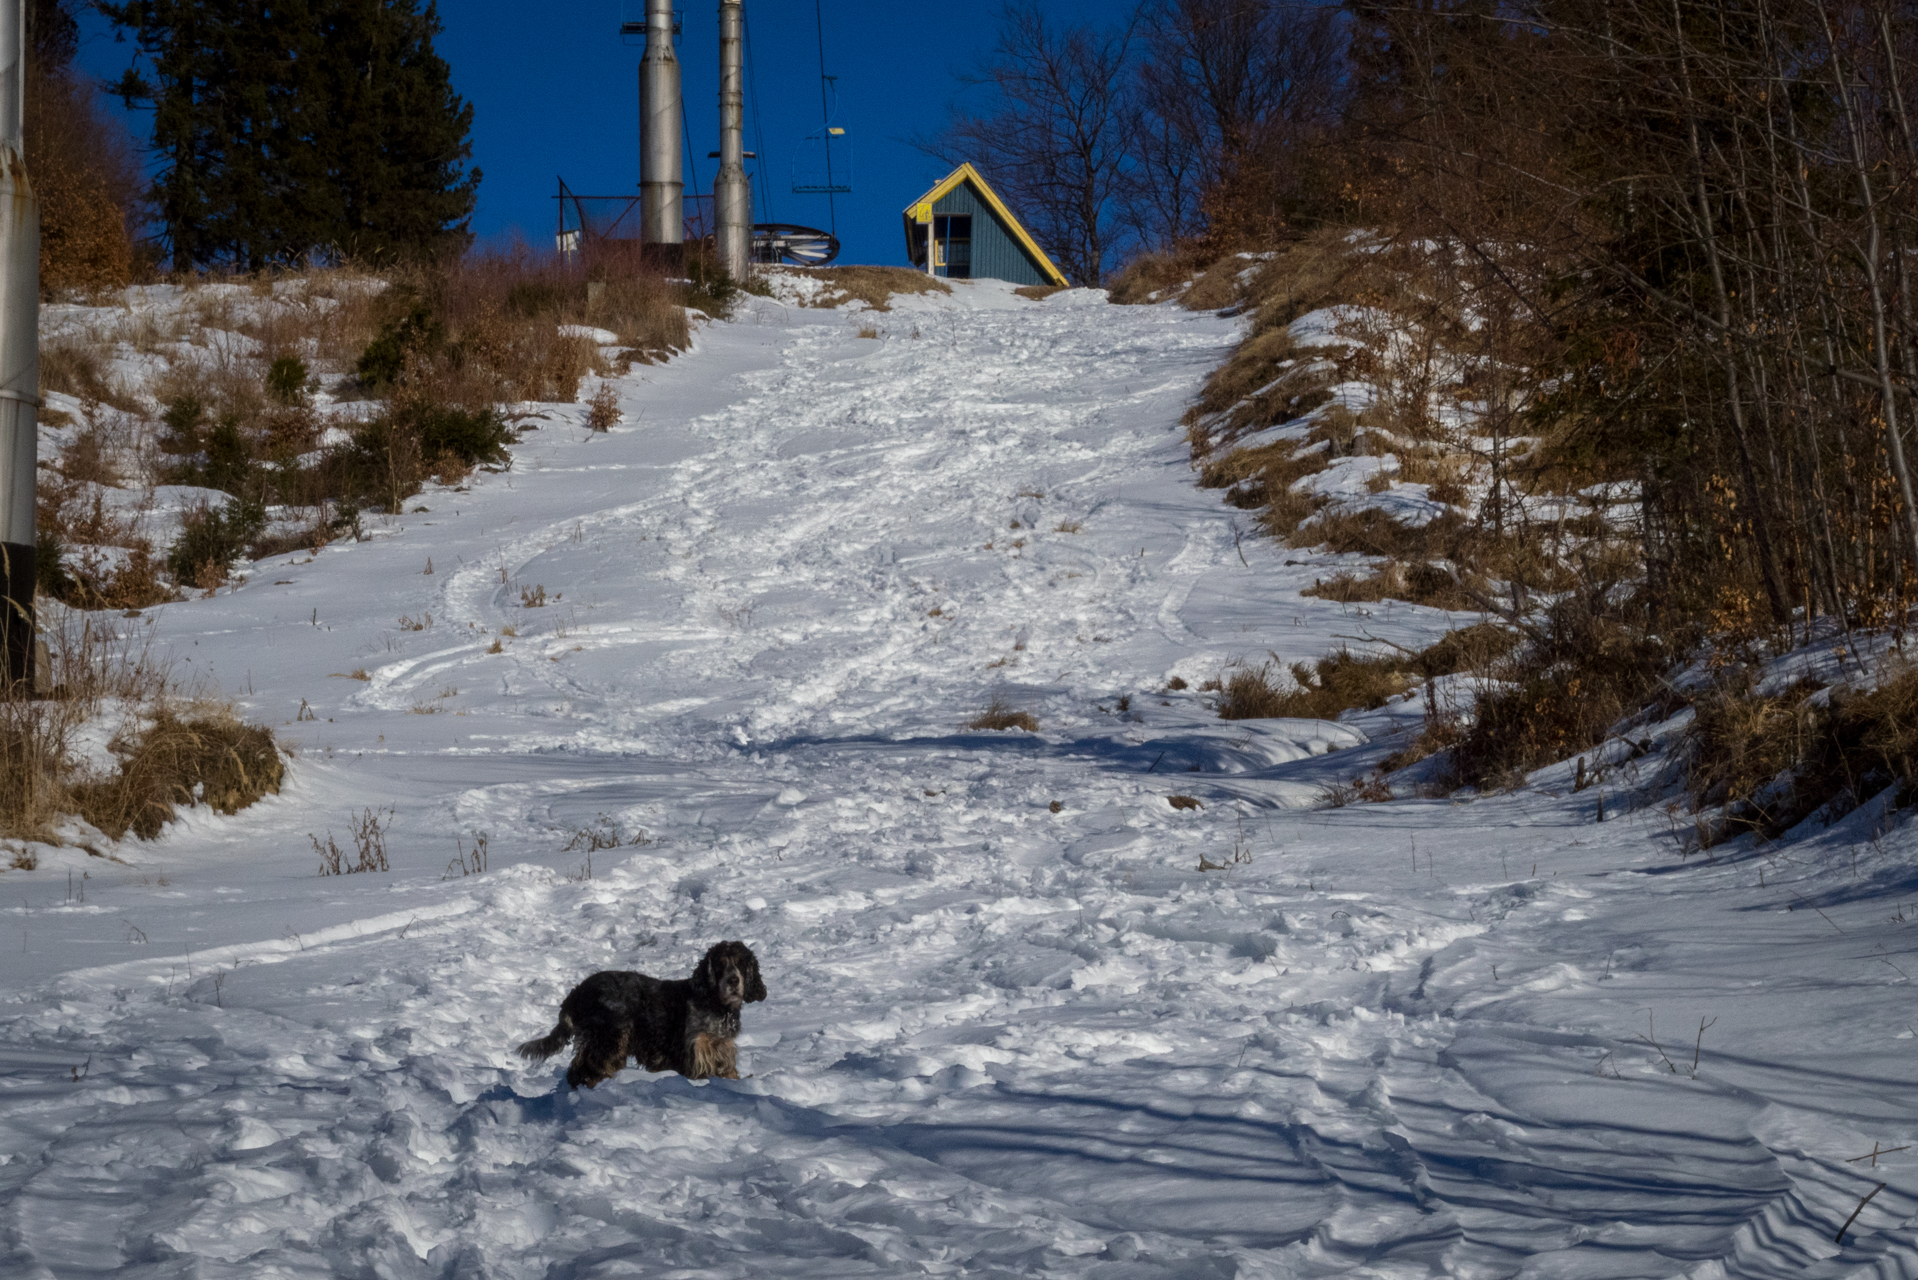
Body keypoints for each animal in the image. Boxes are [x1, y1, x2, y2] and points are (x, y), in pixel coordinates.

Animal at [521, 940, 767, 1090]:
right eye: (720, 965)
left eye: (741, 964)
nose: (733, 981)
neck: (717, 1006)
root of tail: (578, 991)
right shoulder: (696, 1051)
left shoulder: (722, 1050)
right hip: (610, 1038)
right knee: (584, 1070)